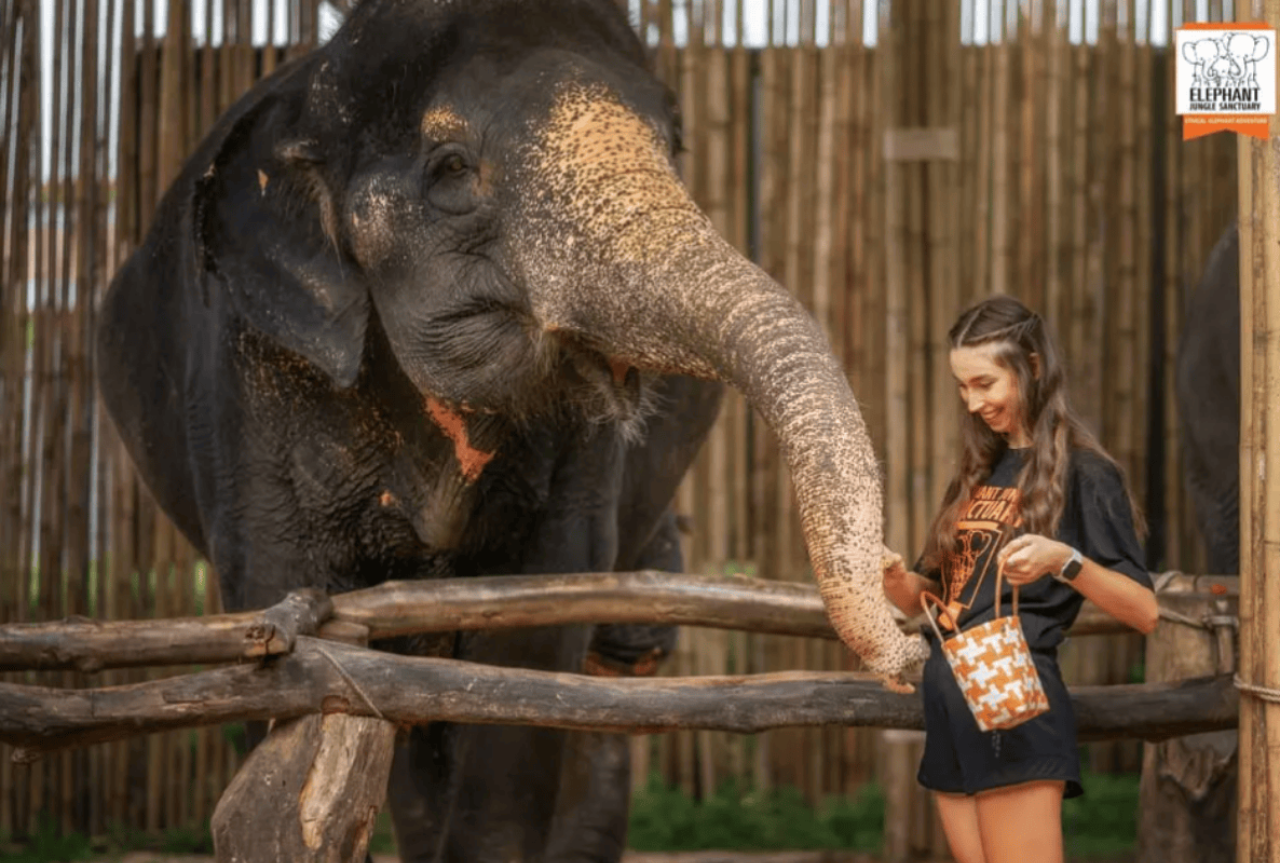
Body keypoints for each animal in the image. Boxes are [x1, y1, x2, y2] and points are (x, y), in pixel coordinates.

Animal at [95, 1, 927, 860]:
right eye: (452, 169)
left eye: (674, 144)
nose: (911, 643)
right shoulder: (243, 378)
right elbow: (283, 612)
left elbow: (541, 620)